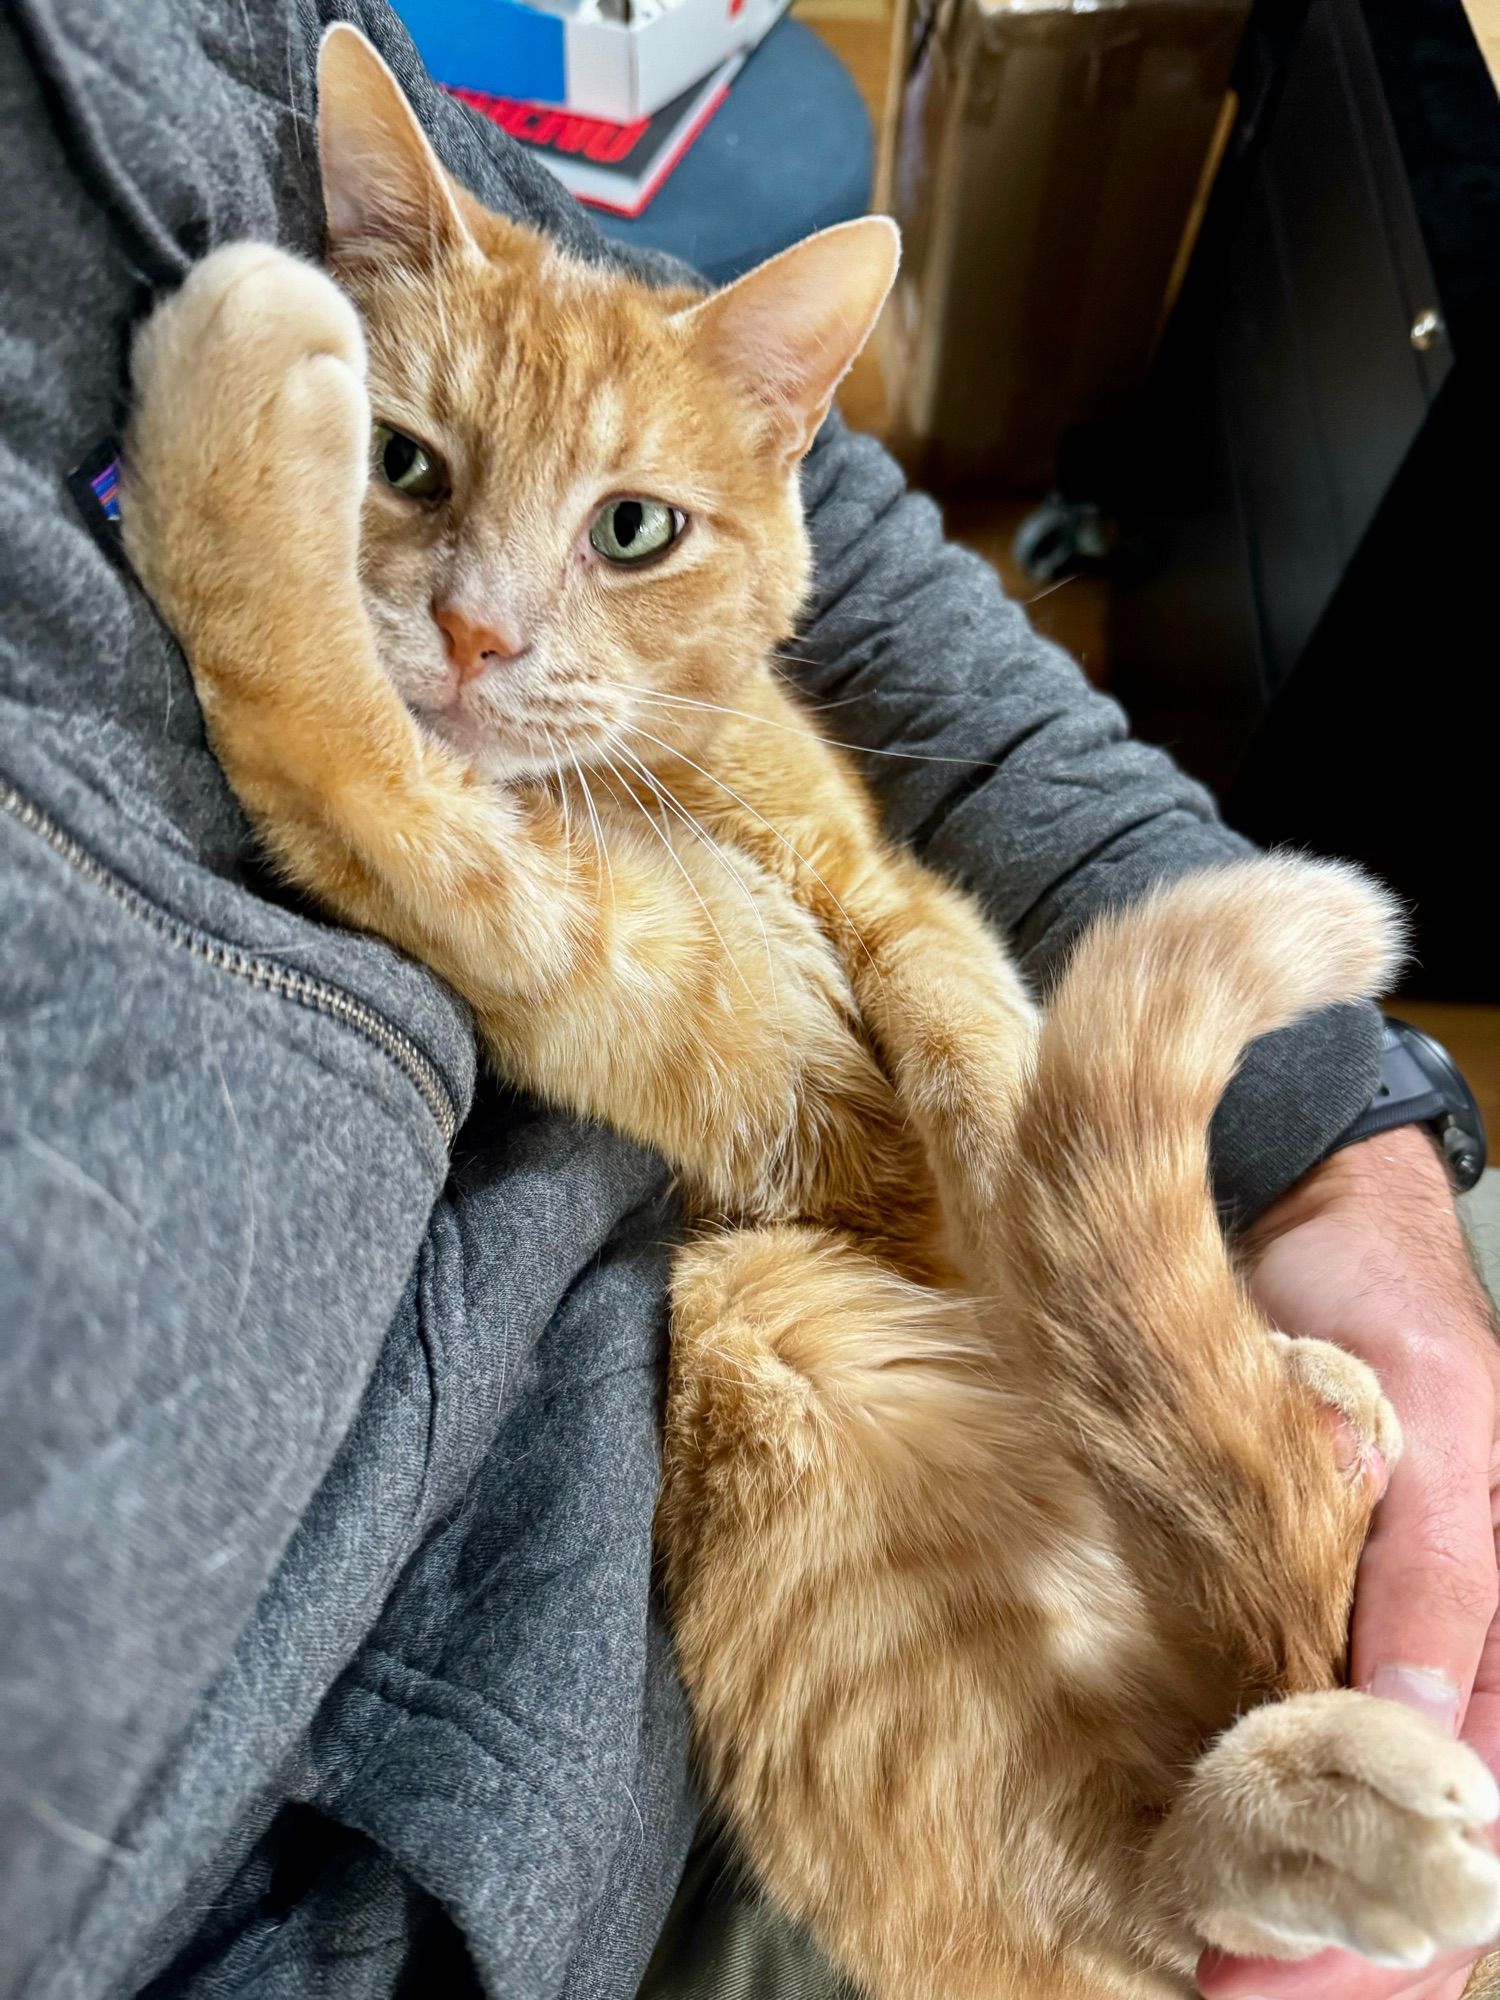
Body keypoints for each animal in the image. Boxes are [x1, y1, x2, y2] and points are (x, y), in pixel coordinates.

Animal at [123, 23, 1500, 1992]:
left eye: (634, 529)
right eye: (403, 462)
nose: (476, 636)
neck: (669, 782)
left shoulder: (885, 886)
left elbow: (978, 1030)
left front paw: (1041, 1228)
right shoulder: (603, 953)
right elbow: (328, 728)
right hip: (754, 1325)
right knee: (1097, 1893)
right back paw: (1325, 1757)